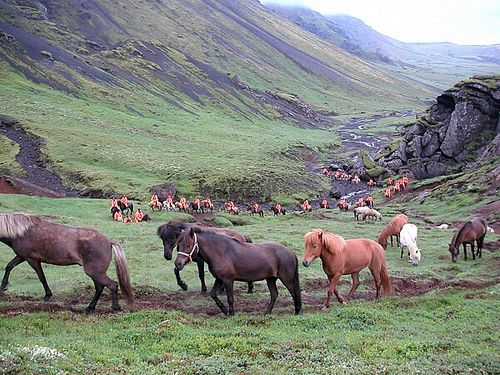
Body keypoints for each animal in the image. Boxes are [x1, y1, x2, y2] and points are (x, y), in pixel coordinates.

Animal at [0, 213, 135, 312]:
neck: (22, 232)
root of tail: (109, 242)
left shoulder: (31, 259)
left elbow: (41, 277)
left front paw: (48, 295)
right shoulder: (21, 256)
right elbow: (9, 266)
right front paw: (3, 286)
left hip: (95, 272)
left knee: (112, 285)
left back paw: (115, 307)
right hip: (95, 273)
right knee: (100, 287)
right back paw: (90, 307)